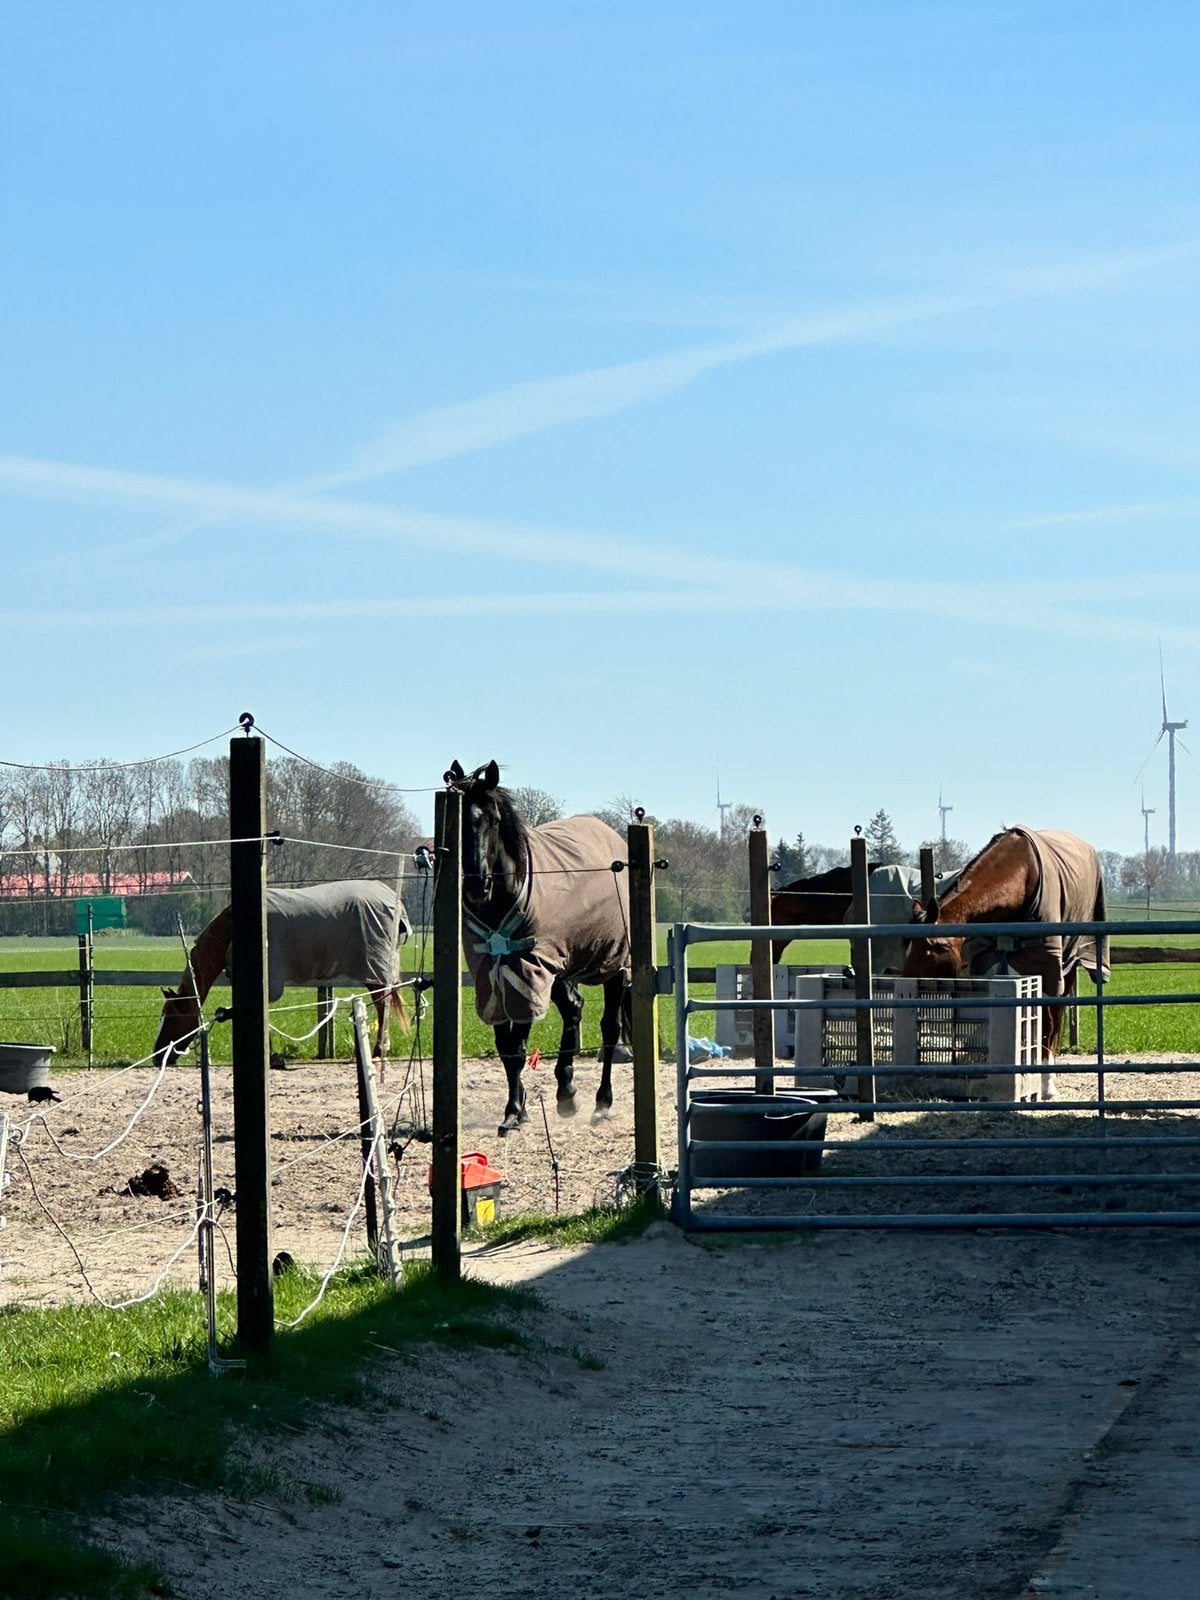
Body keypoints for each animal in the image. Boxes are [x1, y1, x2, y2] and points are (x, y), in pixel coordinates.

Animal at [153, 879, 412, 1067]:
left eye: (172, 1017)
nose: (157, 1056)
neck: (232, 931)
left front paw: (272, 1058)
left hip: (374, 972)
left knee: (382, 1006)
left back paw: (377, 1051)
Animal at [446, 760, 632, 1137]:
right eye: (459, 819)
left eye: (494, 819)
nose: (476, 885)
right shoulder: (492, 976)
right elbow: (505, 1047)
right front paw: (520, 1108)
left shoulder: (525, 973)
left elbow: (517, 1047)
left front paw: (513, 1113)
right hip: (560, 967)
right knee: (574, 1009)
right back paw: (567, 1093)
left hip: (614, 965)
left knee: (609, 1028)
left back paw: (602, 1103)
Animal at [901, 827, 1109, 1081]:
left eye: (932, 949)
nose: (908, 985)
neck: (1022, 875)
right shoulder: (988, 963)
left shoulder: (1044, 967)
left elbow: (1045, 1024)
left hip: (1068, 965)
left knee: (1053, 1020)